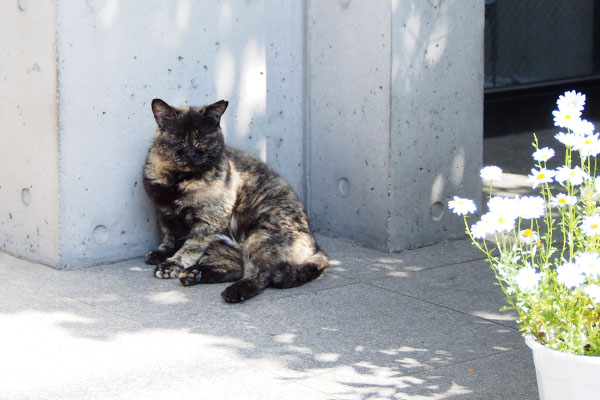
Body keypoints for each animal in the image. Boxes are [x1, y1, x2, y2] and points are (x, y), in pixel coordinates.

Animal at [142, 98, 328, 302]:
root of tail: (315, 245)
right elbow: (169, 237)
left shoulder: (208, 222)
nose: (191, 154)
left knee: (260, 275)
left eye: (203, 139)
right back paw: (194, 274)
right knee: (236, 268)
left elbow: (190, 247)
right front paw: (161, 253)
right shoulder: (165, 214)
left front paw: (172, 265)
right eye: (178, 139)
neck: (178, 182)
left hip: (261, 236)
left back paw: (235, 291)